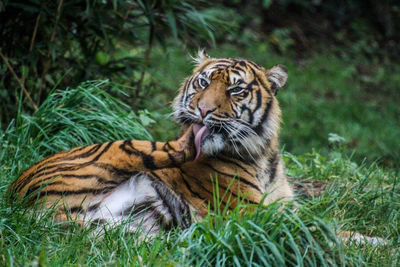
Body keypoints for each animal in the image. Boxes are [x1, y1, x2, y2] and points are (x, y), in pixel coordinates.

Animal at [8, 49, 294, 234]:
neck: (263, 157)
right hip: (121, 147)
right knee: (175, 147)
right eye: (203, 82)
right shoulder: (248, 211)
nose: (203, 110)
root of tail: (16, 200)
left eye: (236, 90)